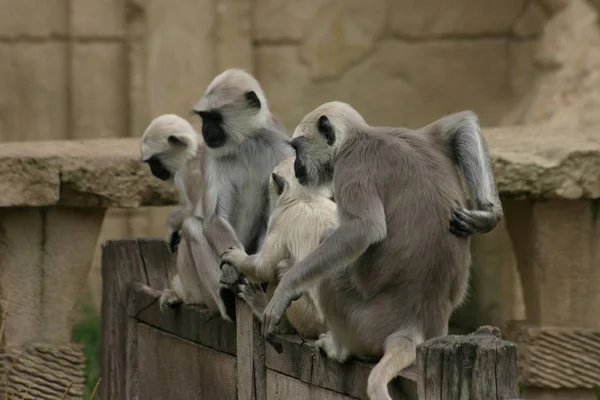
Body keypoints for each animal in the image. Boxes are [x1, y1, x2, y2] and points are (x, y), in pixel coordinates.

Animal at [220, 156, 338, 338]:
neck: (306, 198)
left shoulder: (279, 219)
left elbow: (263, 269)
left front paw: (236, 257)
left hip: (309, 318)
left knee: (282, 267)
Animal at [262, 102, 502, 400]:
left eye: (297, 148)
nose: (296, 167)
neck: (360, 138)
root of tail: (413, 324)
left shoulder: (352, 166)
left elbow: (365, 229)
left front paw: (285, 289)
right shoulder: (409, 133)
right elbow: (460, 124)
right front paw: (489, 215)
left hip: (362, 320)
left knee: (330, 238)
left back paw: (339, 349)